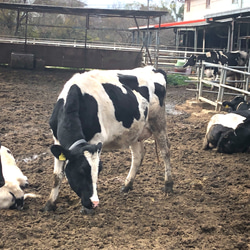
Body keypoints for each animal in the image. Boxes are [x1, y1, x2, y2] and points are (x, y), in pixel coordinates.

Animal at [43, 66, 172, 213]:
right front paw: (50, 204)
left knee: (165, 151)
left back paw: (168, 184)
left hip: (158, 122)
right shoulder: (58, 142)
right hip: (135, 131)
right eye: (81, 171)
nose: (93, 203)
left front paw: (86, 210)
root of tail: (153, 68)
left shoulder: (95, 140)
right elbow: (57, 176)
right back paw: (127, 185)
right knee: (138, 156)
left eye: (99, 170)